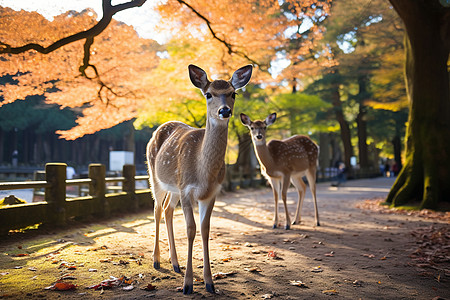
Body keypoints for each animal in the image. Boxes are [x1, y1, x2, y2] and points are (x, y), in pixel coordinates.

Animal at [148, 65, 253, 292]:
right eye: (208, 94)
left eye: (233, 93)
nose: (224, 110)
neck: (203, 173)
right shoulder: (187, 190)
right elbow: (190, 230)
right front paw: (188, 285)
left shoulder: (211, 193)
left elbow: (205, 230)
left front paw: (209, 283)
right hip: (155, 177)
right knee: (157, 209)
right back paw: (157, 261)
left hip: (174, 187)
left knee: (168, 209)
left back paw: (175, 263)